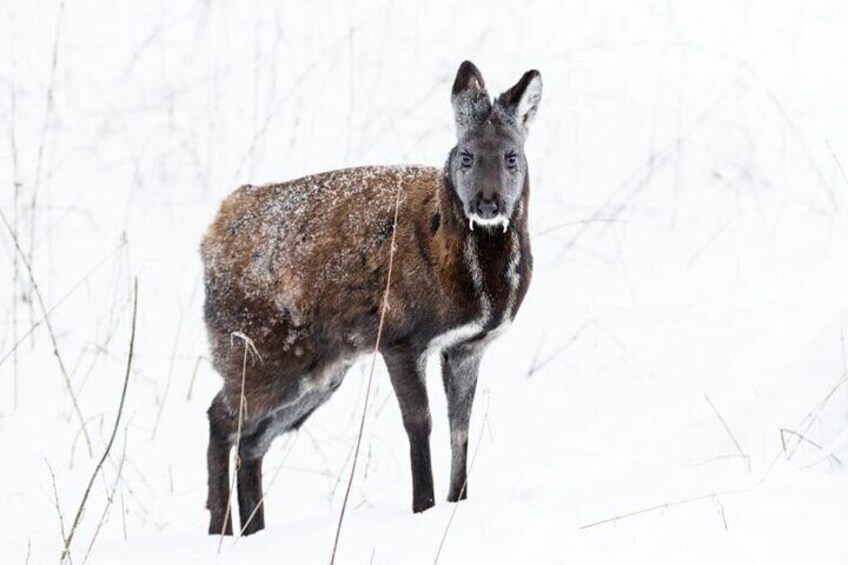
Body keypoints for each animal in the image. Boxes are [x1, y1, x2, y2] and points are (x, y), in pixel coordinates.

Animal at [202, 60, 540, 532]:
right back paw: (220, 527)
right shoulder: (398, 335)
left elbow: (461, 427)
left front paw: (457, 503)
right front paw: (423, 507)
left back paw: (252, 531)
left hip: (321, 368)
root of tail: (213, 230)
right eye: (466, 155)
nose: (487, 204)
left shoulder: (468, 345)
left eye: (512, 156)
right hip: (258, 348)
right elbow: (420, 423)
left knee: (251, 440)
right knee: (221, 418)